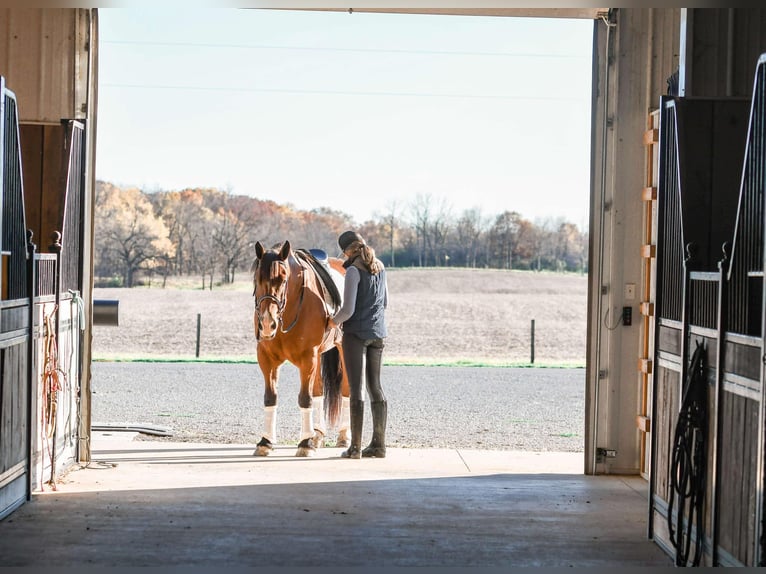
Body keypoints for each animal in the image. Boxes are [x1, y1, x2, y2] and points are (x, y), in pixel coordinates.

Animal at [250, 240, 350, 460]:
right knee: (319, 390)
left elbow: (305, 398)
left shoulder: (308, 358)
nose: (267, 323)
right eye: (256, 277)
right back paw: (317, 434)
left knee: (347, 390)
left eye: (283, 278)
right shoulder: (266, 359)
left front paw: (305, 443)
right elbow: (270, 397)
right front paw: (265, 442)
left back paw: (343, 435)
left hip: (342, 350)